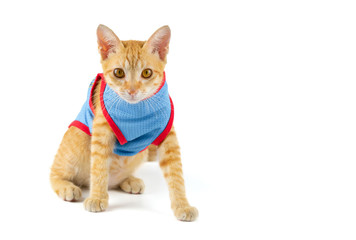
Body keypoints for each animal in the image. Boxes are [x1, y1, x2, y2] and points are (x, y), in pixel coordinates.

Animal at [50, 24, 199, 221]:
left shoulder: (168, 135)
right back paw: (67, 186)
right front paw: (97, 197)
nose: (132, 90)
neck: (135, 111)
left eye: (147, 73)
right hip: (78, 139)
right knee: (54, 172)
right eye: (119, 73)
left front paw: (182, 205)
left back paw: (128, 181)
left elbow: (176, 174)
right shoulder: (101, 130)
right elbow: (98, 167)